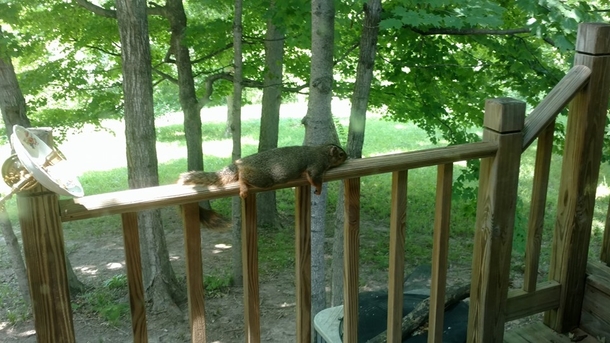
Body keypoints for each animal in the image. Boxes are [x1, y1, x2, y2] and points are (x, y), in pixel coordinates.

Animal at [177, 144, 346, 228]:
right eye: (341, 154)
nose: (348, 156)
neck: (322, 152)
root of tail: (240, 162)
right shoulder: (317, 164)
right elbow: (315, 177)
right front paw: (318, 189)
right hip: (263, 178)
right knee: (244, 175)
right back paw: (243, 184)